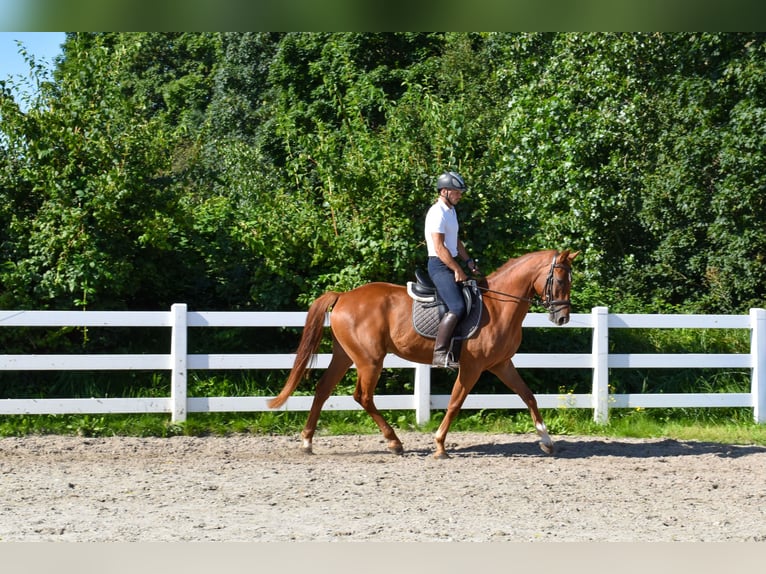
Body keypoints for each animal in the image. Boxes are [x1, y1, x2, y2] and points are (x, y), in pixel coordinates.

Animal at [268, 248, 580, 459]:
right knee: (362, 396)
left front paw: (546, 440)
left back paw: (307, 442)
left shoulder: (501, 364)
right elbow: (455, 402)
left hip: (345, 356)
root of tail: (344, 295)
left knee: (322, 390)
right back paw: (394, 442)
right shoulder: (472, 367)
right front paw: (440, 445)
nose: (562, 318)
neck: (499, 305)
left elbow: (528, 395)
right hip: (370, 360)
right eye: (559, 281)